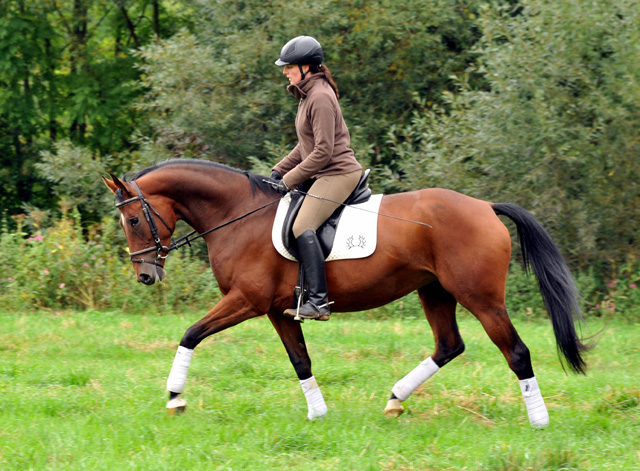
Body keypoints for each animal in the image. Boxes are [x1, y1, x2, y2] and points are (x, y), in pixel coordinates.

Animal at [102, 159, 588, 428]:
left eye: (133, 220)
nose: (145, 276)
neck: (238, 215)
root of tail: (485, 207)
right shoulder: (277, 310)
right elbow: (300, 361)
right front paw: (317, 414)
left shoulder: (246, 301)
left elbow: (189, 334)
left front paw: (175, 397)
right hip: (434, 291)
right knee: (449, 345)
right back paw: (395, 400)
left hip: (481, 299)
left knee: (516, 352)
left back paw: (539, 421)